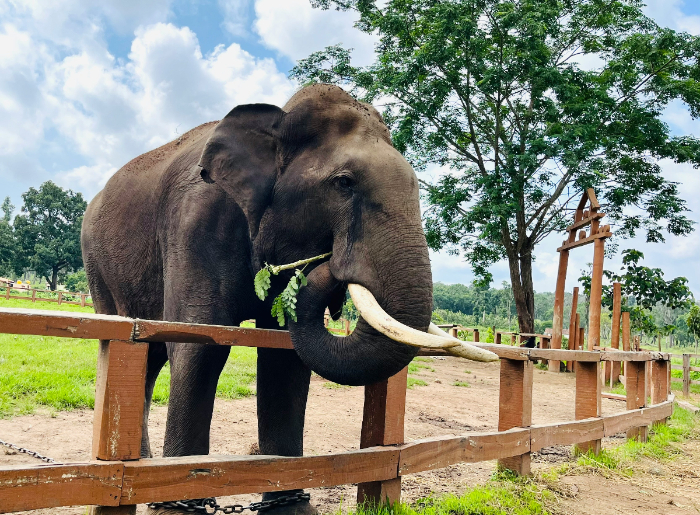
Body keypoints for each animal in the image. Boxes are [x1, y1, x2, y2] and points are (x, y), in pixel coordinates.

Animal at [82, 84, 487, 514]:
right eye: (344, 183)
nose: (330, 261)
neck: (277, 121)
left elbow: (284, 355)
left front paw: (290, 507)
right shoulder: (194, 224)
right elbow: (201, 343)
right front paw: (177, 506)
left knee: (150, 354)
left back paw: (138, 464)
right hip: (97, 266)